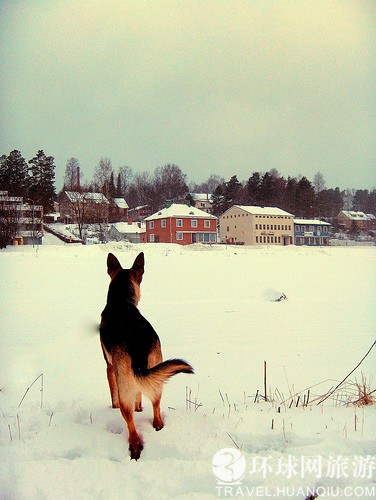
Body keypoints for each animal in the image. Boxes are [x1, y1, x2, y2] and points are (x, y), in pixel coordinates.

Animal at [100, 252, 194, 458]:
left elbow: (113, 396)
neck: (122, 300)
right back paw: (157, 427)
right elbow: (139, 397)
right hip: (156, 375)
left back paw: (135, 449)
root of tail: (137, 341)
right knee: (156, 410)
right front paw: (140, 409)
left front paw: (112, 408)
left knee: (130, 424)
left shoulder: (109, 368)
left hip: (124, 383)